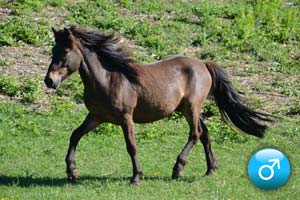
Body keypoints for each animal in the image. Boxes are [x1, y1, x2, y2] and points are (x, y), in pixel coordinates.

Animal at [44, 25, 272, 185]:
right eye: (53, 50)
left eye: (65, 52)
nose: (49, 81)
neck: (107, 79)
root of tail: (203, 64)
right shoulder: (96, 117)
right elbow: (75, 135)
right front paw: (72, 172)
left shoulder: (126, 118)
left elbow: (131, 146)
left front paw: (136, 177)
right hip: (188, 110)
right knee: (205, 134)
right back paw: (210, 169)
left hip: (192, 107)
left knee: (195, 134)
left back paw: (178, 169)